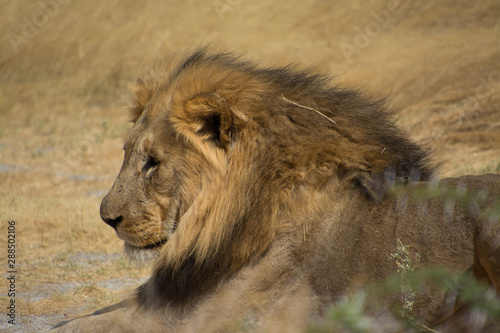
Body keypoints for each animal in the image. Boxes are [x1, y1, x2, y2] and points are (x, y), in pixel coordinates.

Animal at [51, 48, 500, 330]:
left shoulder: (208, 318)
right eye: (127, 153)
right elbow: (80, 318)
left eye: (153, 162)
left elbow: (82, 326)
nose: (107, 218)